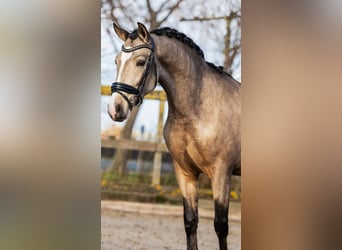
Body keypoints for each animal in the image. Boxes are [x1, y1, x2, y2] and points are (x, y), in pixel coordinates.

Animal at [107, 22, 240, 249]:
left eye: (140, 62)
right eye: (117, 61)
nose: (115, 109)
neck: (197, 109)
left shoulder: (222, 173)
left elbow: (221, 226)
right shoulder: (185, 172)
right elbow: (190, 222)